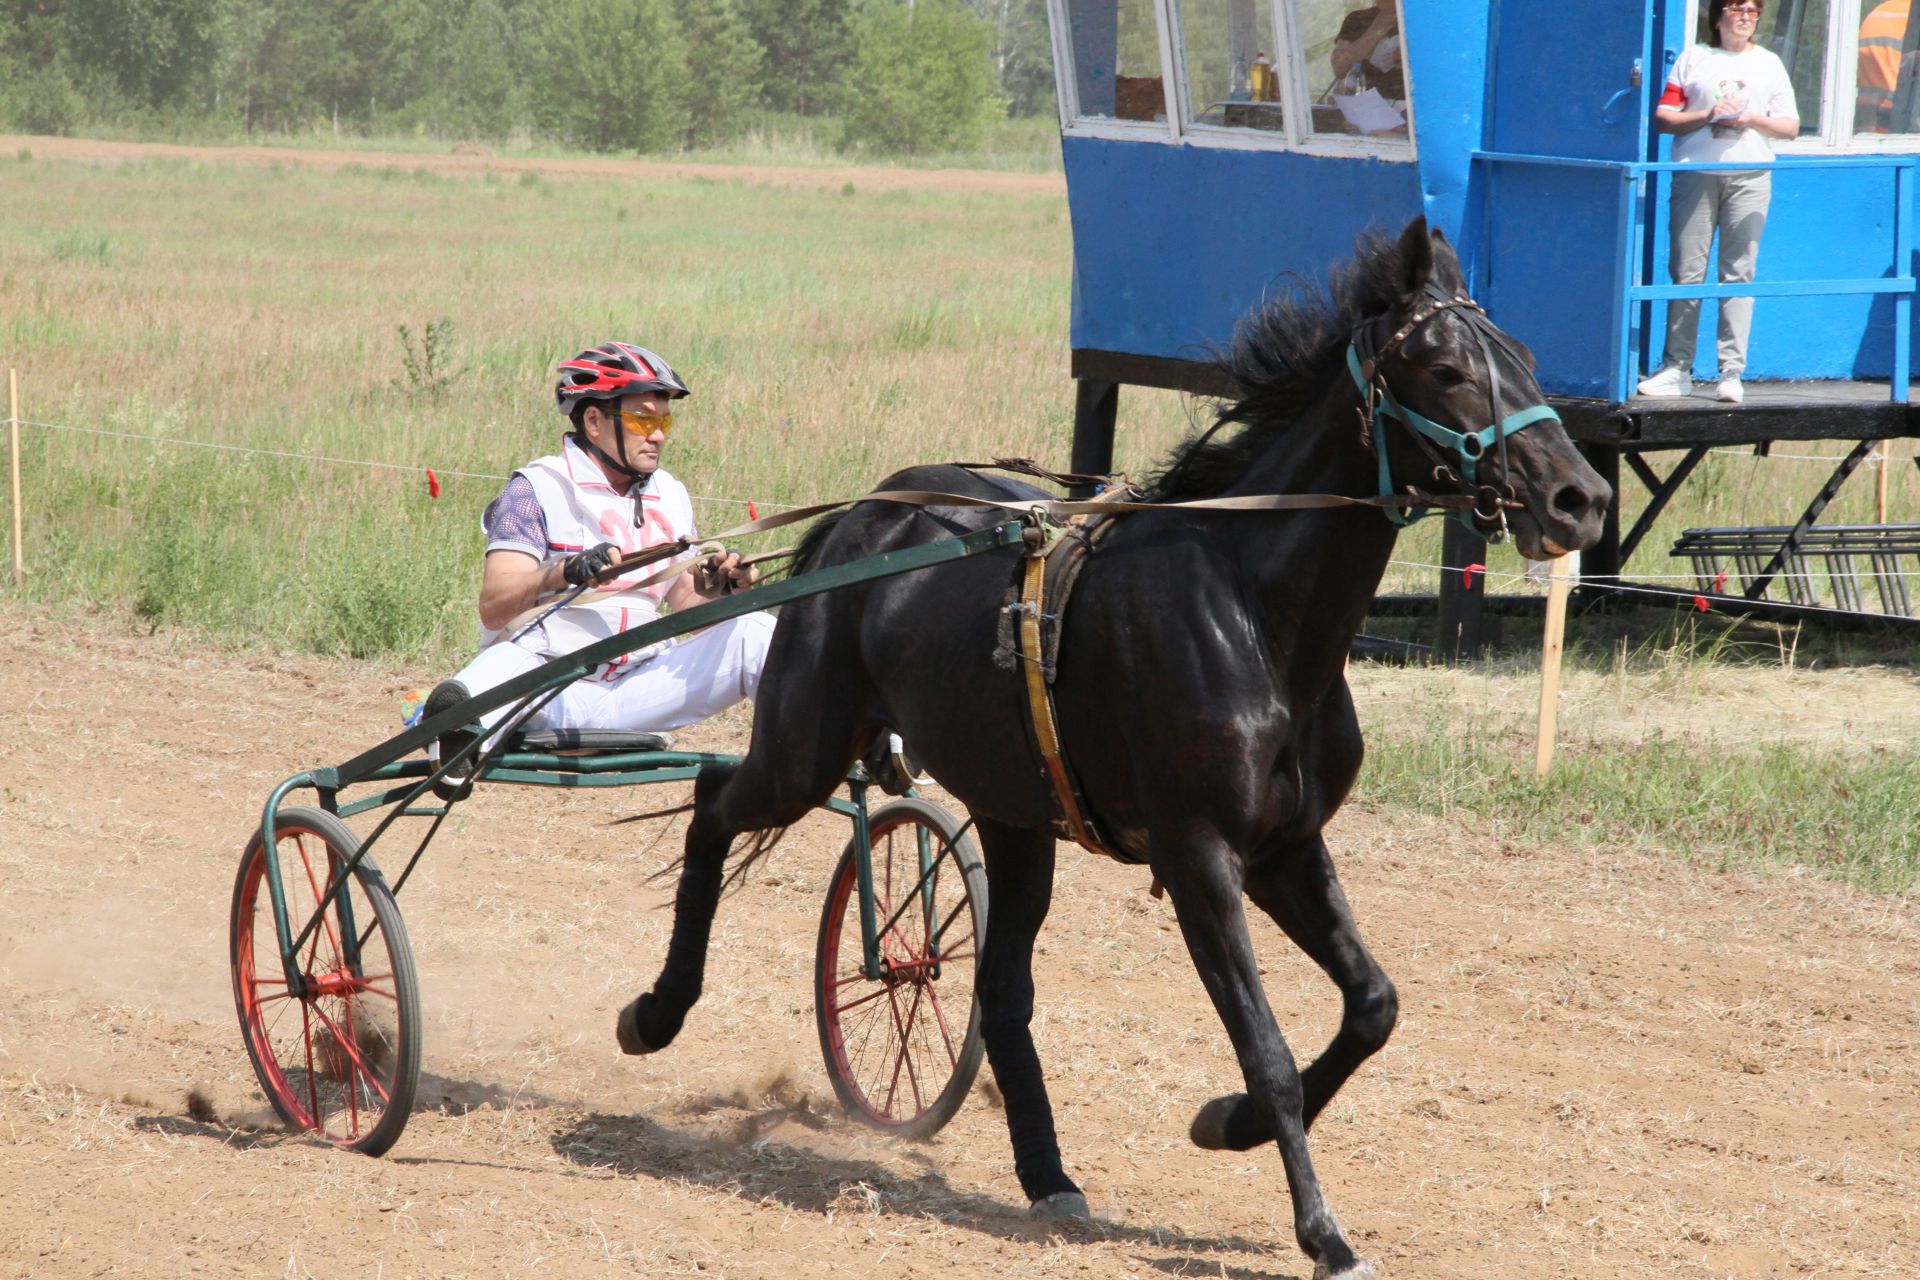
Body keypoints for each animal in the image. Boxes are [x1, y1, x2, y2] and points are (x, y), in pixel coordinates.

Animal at [614, 222, 1605, 1280]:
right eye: (1448, 369)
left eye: (1526, 359)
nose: (1580, 497)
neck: (1255, 611)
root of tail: (870, 512)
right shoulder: (1200, 853)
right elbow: (1266, 1049)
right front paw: (1324, 1231)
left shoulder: (1286, 849)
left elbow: (1372, 1004)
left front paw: (1228, 1123)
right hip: (804, 744)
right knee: (716, 804)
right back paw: (657, 1011)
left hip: (1012, 814)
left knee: (1001, 991)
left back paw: (1048, 1174)